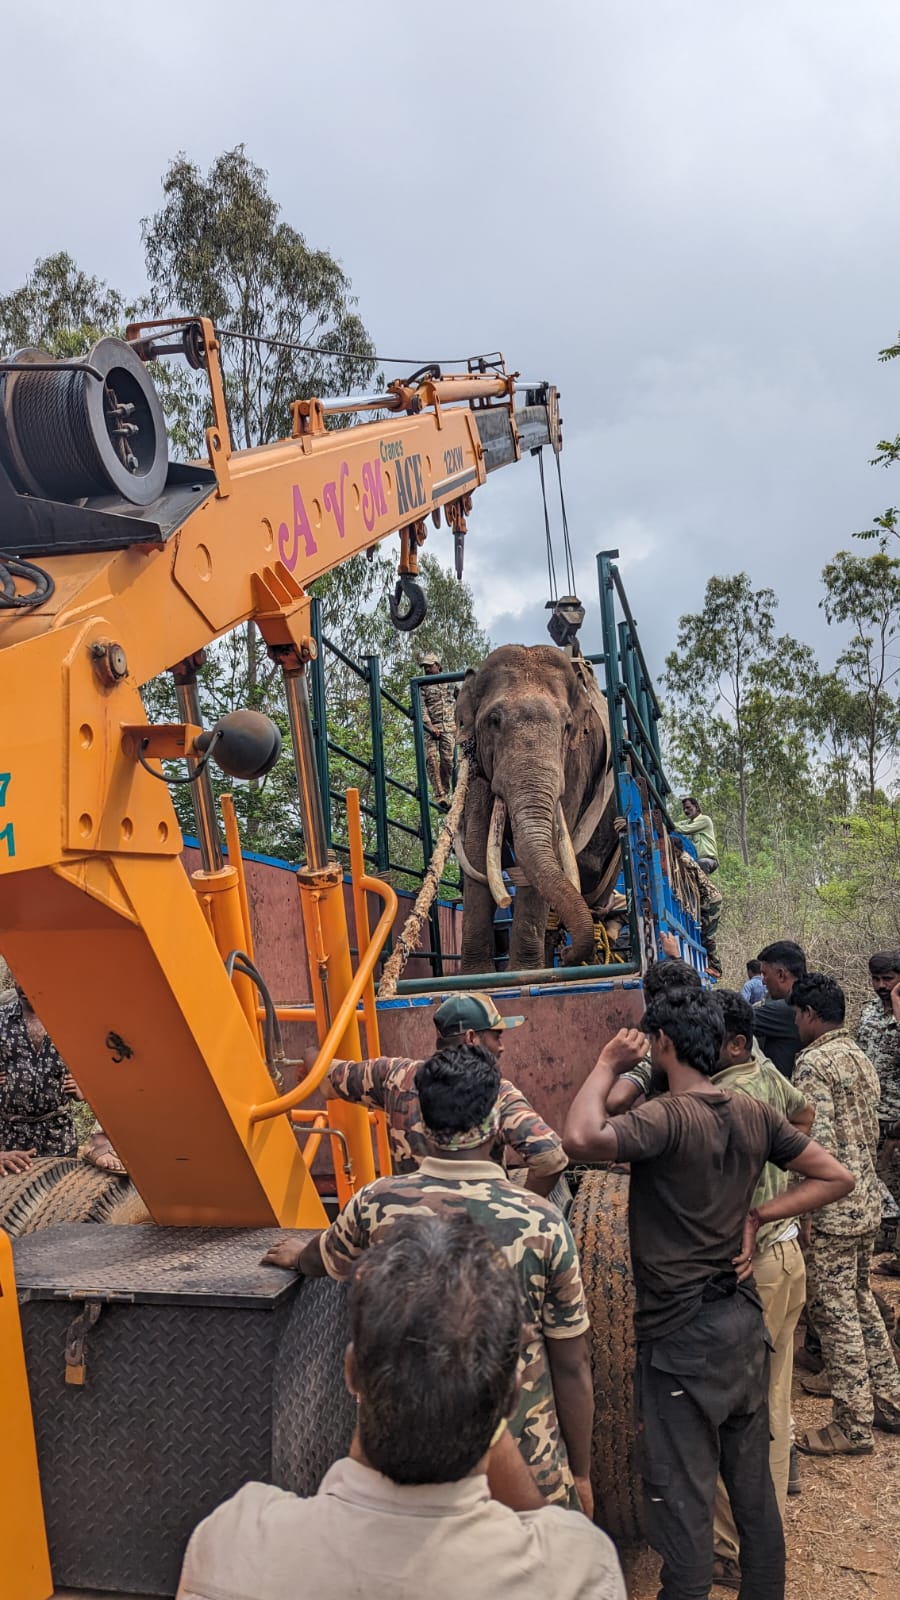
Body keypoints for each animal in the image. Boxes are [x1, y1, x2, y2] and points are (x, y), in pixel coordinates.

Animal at [454, 640, 614, 966]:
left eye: (566, 726)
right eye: (493, 721)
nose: (568, 954)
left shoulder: (575, 764)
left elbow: (549, 844)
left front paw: (528, 971)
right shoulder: (478, 765)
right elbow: (476, 847)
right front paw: (480, 973)